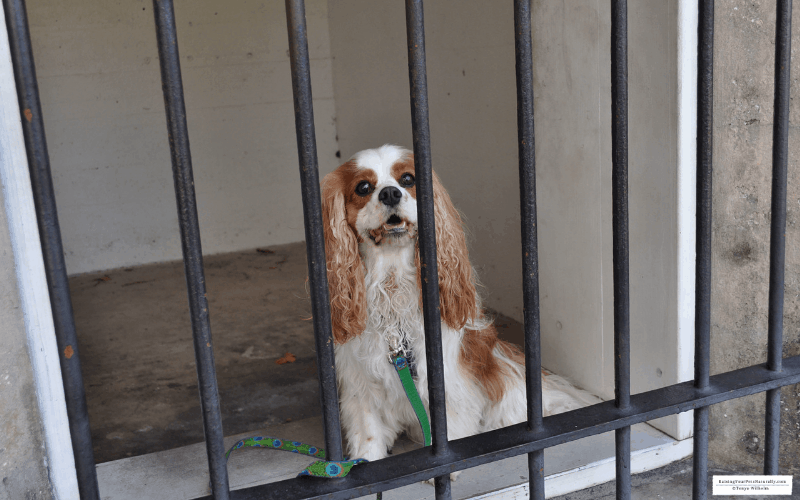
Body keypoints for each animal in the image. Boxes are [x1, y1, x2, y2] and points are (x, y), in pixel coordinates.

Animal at [320, 145, 592, 464]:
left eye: (408, 179)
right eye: (363, 187)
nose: (390, 193)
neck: (391, 279)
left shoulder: (445, 381)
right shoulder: (361, 386)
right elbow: (369, 436)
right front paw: (366, 461)